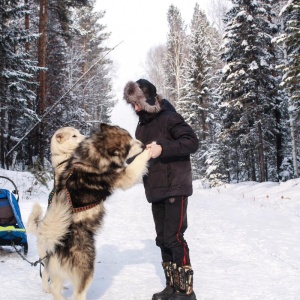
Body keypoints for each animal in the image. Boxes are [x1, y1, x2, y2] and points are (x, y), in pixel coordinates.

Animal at [26, 123, 150, 298]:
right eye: (129, 145)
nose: (143, 144)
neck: (94, 154)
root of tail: (54, 241)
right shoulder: (124, 176)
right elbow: (135, 165)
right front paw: (150, 151)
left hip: (56, 271)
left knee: (54, 286)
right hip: (87, 269)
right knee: (77, 293)